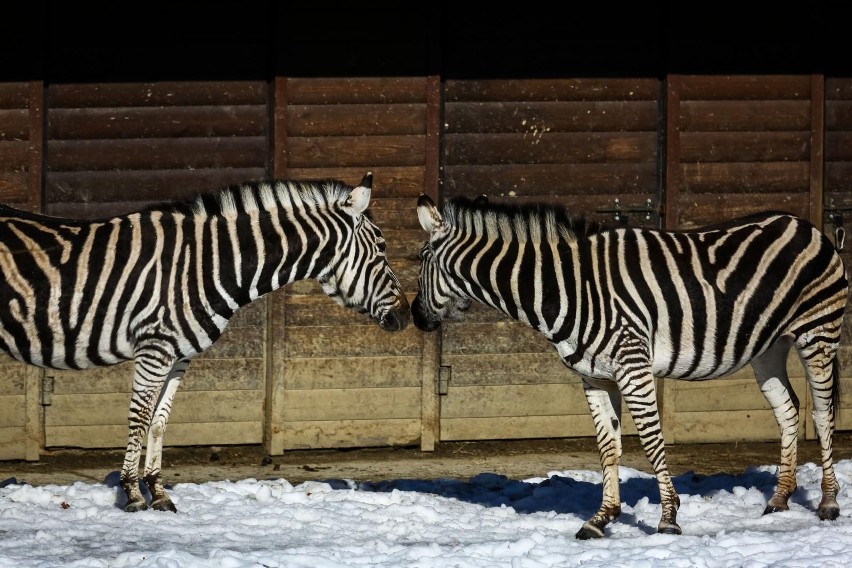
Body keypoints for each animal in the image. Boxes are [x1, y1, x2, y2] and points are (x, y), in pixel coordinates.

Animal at [0, 171, 410, 512]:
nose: (406, 316)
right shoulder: (155, 348)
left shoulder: (179, 356)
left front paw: (158, 493)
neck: (205, 264)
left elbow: (159, 422)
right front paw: (132, 494)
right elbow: (139, 420)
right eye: (382, 247)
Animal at [412, 193, 844, 540]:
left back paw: (828, 503)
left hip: (818, 333)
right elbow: (608, 446)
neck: (568, 288)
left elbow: (651, 441)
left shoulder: (633, 367)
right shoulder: (594, 378)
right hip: (768, 348)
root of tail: (806, 224)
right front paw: (601, 518)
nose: (415, 316)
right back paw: (779, 499)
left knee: (822, 413)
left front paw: (669, 518)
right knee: (788, 411)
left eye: (421, 259)